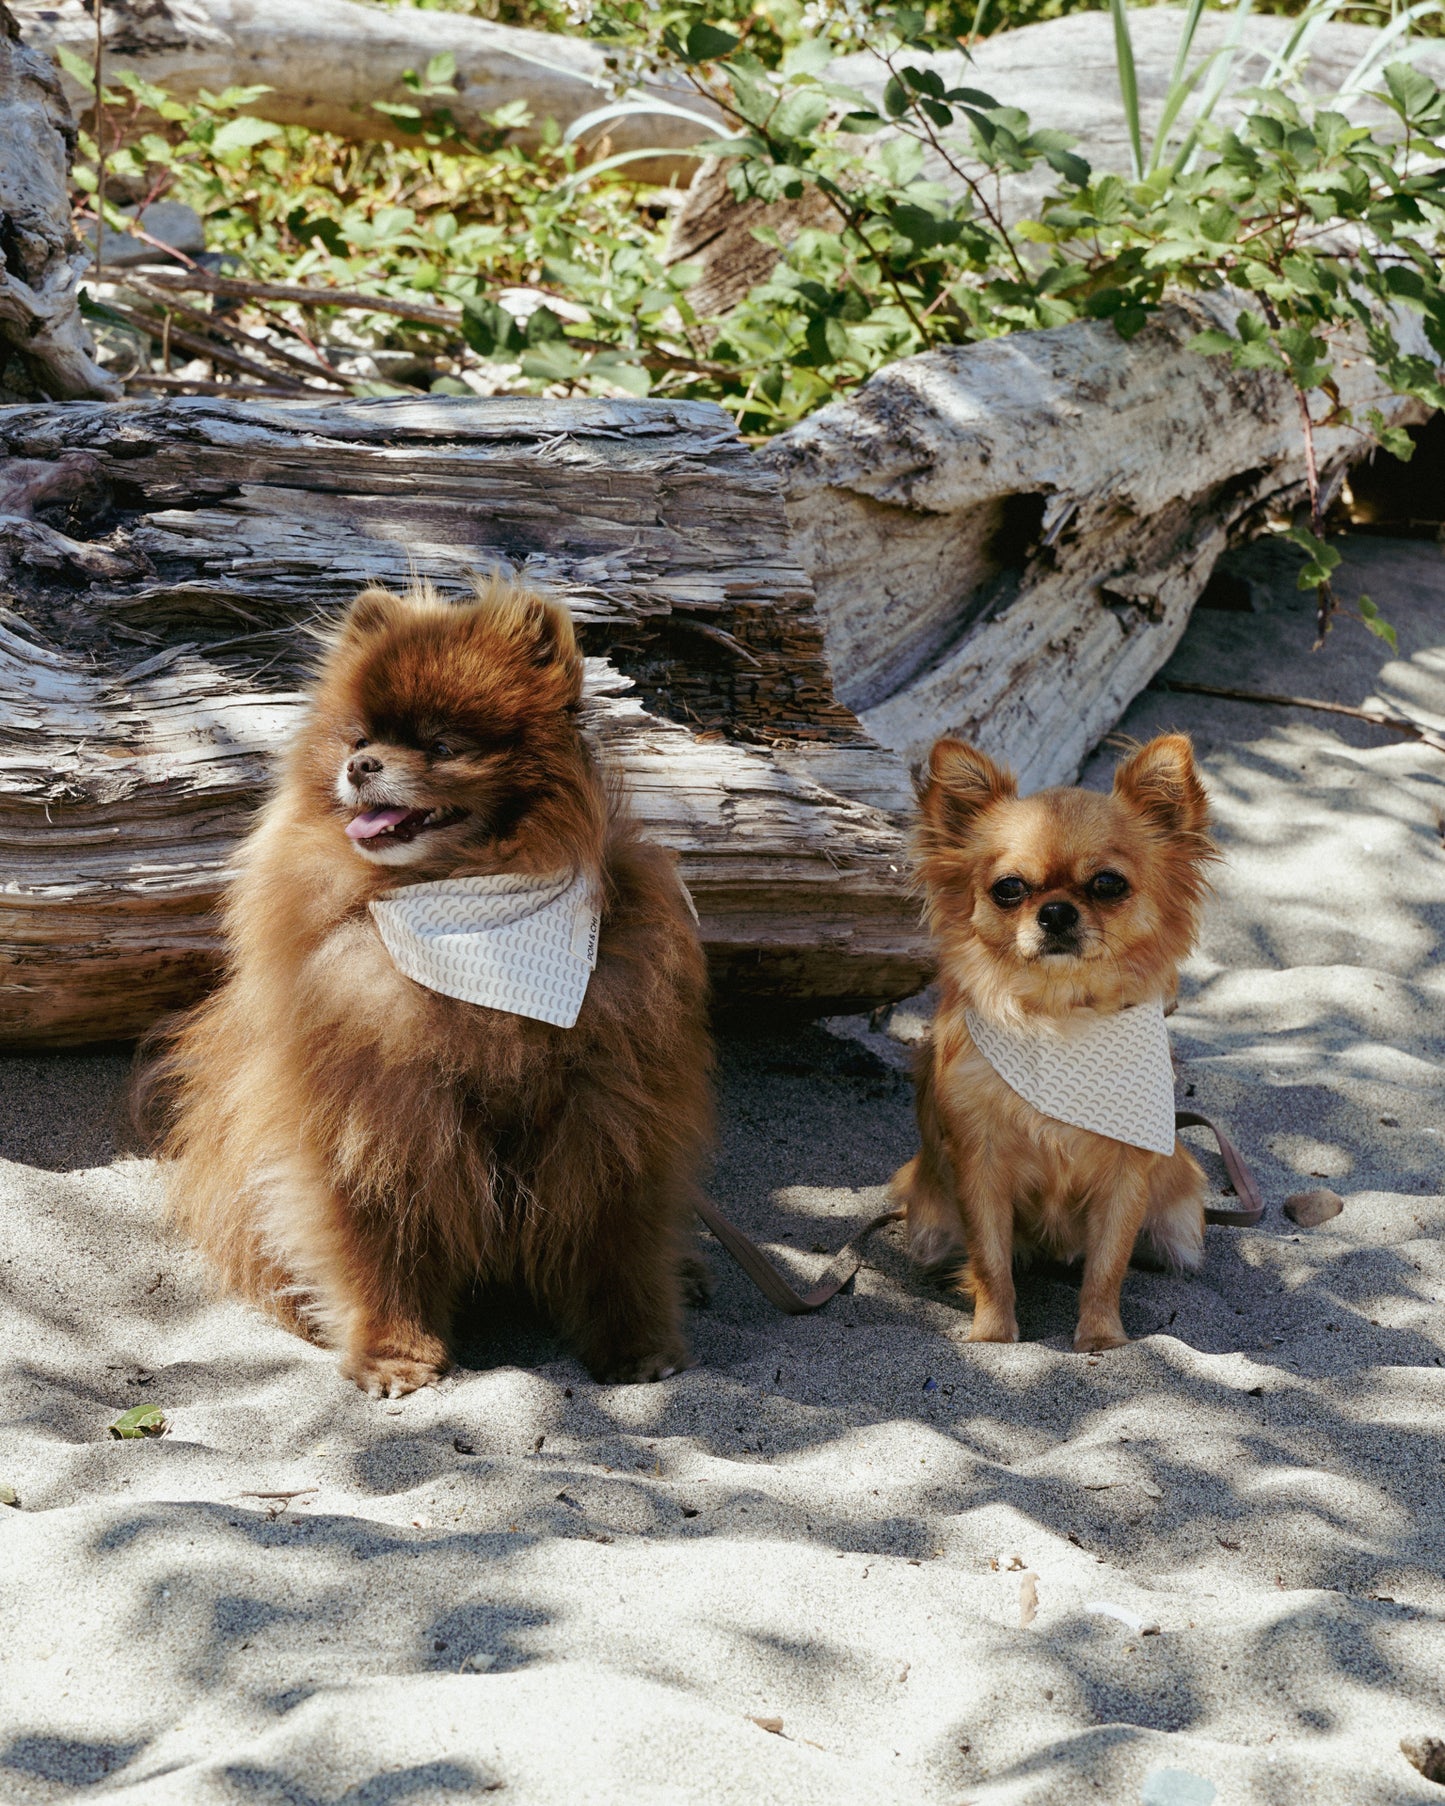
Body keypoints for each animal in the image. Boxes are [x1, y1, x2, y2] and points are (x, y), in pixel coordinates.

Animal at [150, 577, 711, 1394]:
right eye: (358, 740)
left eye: (443, 747)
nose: (362, 767)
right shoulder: (374, 1116)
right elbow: (379, 1246)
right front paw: (394, 1353)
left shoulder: (610, 1112)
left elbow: (618, 1242)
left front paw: (636, 1343)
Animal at [892, 736, 1221, 1358]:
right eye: (1009, 889)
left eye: (1109, 884)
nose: (1056, 911)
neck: (1059, 1018)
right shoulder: (978, 1167)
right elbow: (990, 1260)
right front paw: (994, 1337)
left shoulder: (1126, 1175)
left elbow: (1107, 1265)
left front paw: (1102, 1340)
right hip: (926, 1215)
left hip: (1182, 1207)